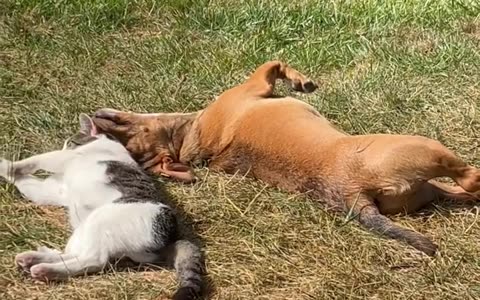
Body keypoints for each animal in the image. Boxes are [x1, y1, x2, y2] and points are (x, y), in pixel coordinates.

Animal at [0, 113, 202, 300]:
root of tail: (170, 238)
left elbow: (35, 160)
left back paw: (44, 269)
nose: (64, 146)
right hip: (85, 230)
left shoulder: (64, 158)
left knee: (94, 260)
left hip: (101, 219)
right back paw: (33, 259)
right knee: (74, 254)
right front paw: (10, 172)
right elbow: (25, 182)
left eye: (70, 143)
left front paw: (6, 164)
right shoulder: (52, 191)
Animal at [91, 61, 480, 255]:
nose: (95, 120)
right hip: (424, 148)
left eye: (127, 140)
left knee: (466, 191)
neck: (186, 138)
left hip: (427, 188)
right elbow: (273, 62)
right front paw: (300, 81)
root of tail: (351, 197)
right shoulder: (254, 85)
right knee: (470, 176)